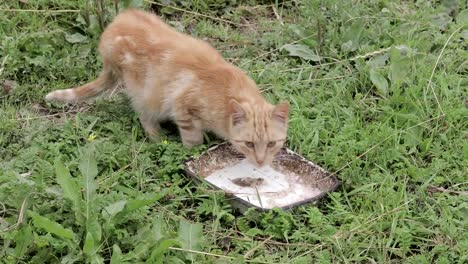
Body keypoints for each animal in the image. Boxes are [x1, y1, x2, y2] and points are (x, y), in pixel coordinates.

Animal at [47, 10, 288, 168]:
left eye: (272, 144)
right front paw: (192, 151)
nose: (260, 162)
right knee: (145, 116)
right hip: (143, 92)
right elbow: (193, 138)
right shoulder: (182, 107)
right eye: (249, 143)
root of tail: (114, 24)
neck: (229, 94)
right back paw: (156, 137)